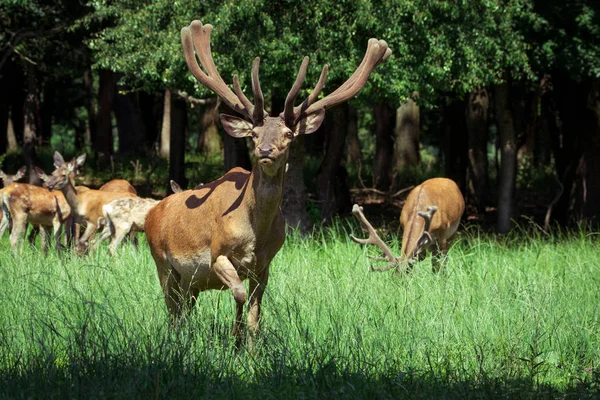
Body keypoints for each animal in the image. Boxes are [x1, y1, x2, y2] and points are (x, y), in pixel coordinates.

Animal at [144, 20, 392, 340]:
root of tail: (152, 212)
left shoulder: (265, 266)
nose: (264, 151)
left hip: (190, 281)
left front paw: (245, 344)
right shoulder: (217, 254)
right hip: (163, 263)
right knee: (173, 311)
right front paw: (234, 337)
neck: (255, 235)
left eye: (288, 134)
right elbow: (237, 294)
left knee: (184, 310)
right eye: (253, 134)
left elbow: (255, 316)